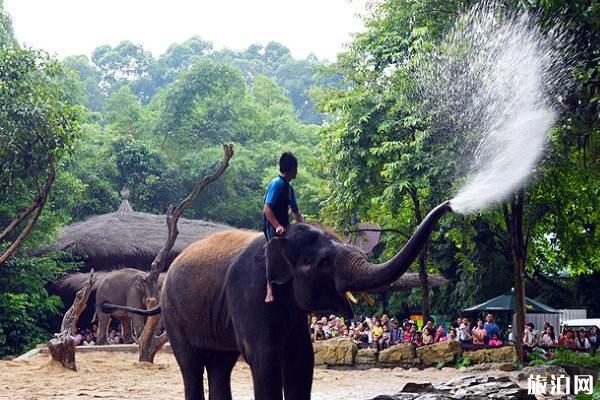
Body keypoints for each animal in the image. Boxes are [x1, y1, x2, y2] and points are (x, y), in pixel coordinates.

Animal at [103, 202, 450, 400]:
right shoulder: (249, 291)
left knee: (220, 365)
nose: (450, 205)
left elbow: (302, 359)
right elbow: (265, 358)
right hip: (175, 314)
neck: (279, 239)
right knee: (191, 365)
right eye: (324, 262)